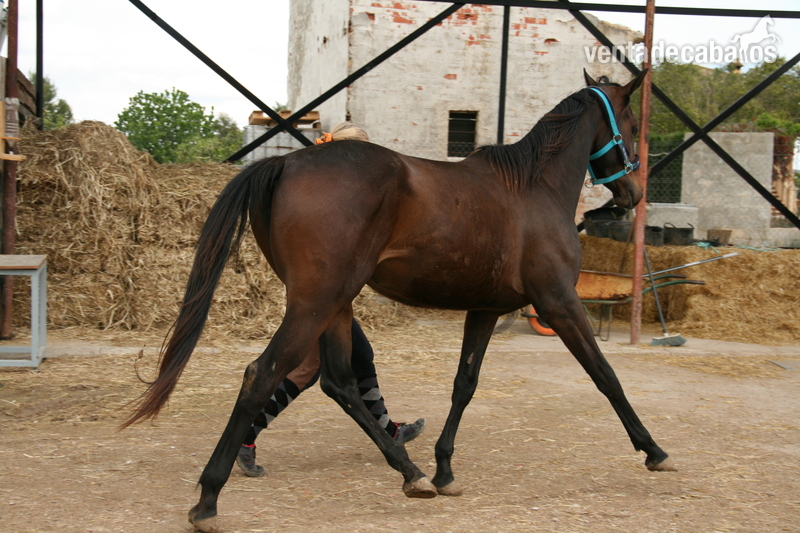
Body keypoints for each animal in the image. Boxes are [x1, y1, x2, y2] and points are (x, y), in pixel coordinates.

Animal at [124, 69, 675, 533]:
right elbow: (605, 375)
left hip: (334, 306)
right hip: (316, 303)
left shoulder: (485, 310)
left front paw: (445, 468)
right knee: (265, 374)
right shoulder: (559, 302)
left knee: (339, 382)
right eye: (631, 122)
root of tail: (285, 162)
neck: (532, 189)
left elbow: (464, 385)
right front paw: (653, 449)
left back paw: (411, 473)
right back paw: (209, 498)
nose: (632, 191)